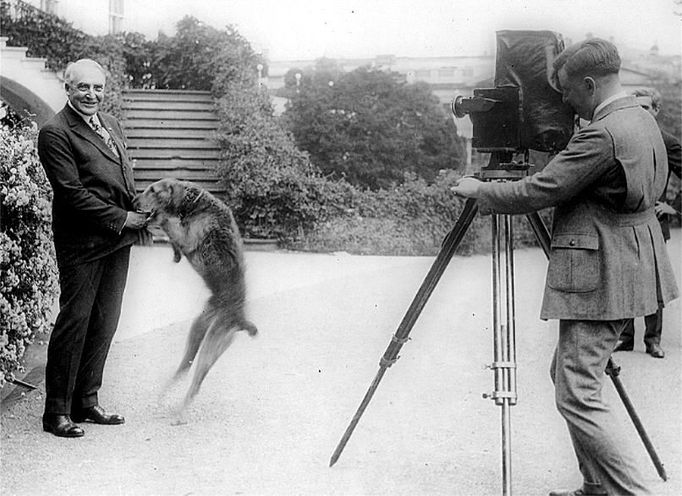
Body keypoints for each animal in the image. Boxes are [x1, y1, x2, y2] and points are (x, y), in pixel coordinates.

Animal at [134, 178, 256, 418]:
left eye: (153, 190)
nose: (133, 200)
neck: (195, 204)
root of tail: (240, 319)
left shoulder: (188, 238)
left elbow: (166, 223)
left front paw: (158, 220)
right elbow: (170, 235)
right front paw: (174, 254)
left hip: (211, 343)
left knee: (195, 384)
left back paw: (179, 414)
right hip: (198, 330)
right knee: (185, 370)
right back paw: (163, 397)